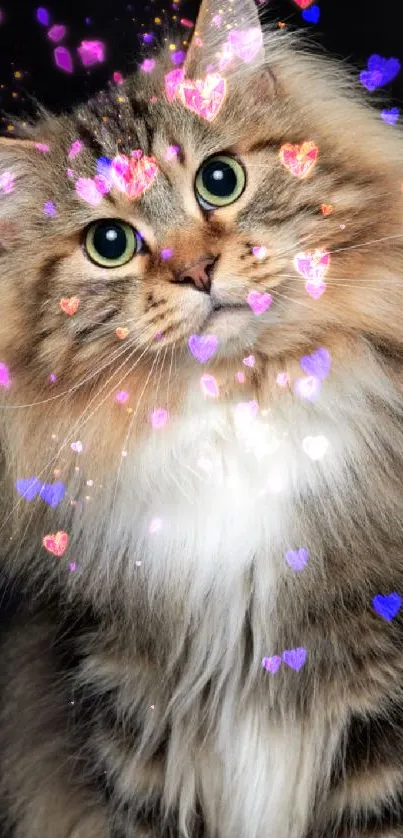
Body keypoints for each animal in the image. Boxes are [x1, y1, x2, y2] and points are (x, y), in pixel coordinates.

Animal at [0, 0, 403, 836]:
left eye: (220, 181)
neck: (236, 407)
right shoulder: (130, 704)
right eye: (109, 244)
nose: (196, 271)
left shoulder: (374, 694)